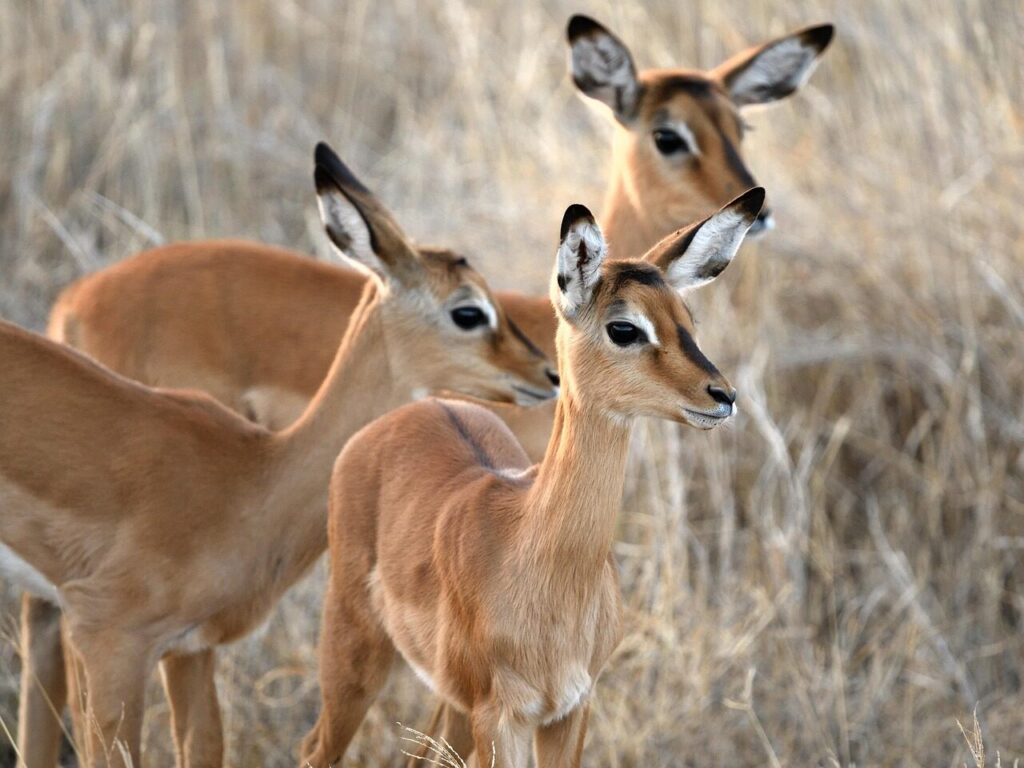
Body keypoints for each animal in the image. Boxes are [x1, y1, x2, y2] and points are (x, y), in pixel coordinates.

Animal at [3, 142, 557, 768]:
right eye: (468, 311)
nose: (548, 373)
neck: (252, 478)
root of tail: (72, 302)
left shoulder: (190, 650)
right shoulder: (109, 638)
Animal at [300, 188, 764, 767]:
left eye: (687, 320)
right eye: (624, 327)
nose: (722, 396)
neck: (538, 553)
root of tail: (412, 409)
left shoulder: (571, 710)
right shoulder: (502, 719)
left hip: (451, 705)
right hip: (354, 655)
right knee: (314, 746)